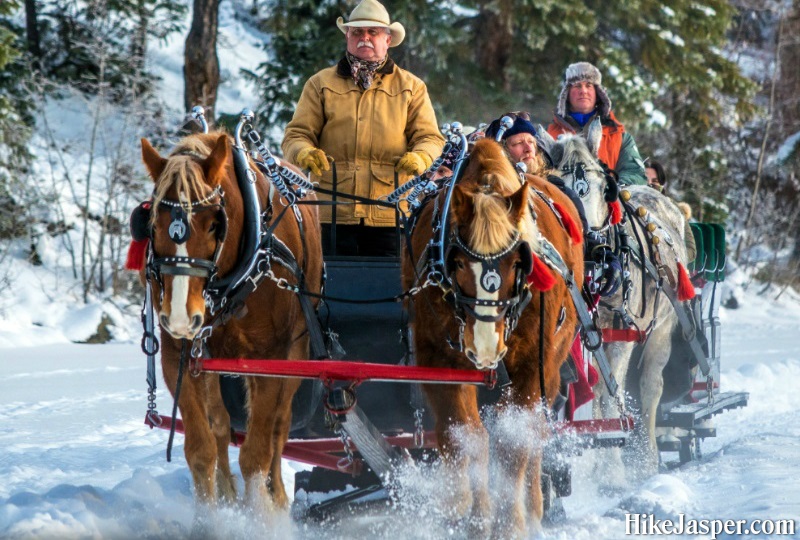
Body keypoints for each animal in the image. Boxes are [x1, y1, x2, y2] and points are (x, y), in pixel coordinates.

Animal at [140, 133, 322, 516]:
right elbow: (201, 448)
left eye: (213, 224)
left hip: (297, 350)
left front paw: (263, 515)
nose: (181, 317)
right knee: (222, 426)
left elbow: (257, 453)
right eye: (153, 225)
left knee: (279, 426)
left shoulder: (270, 359)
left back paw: (277, 493)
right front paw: (213, 515)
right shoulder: (178, 355)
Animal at [406, 139, 580, 536]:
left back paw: (534, 506)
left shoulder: (534, 364)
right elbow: (465, 436)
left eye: (518, 263)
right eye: (455, 263)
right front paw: (468, 512)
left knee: (535, 434)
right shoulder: (438, 359)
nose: (485, 346)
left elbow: (514, 441)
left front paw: (510, 521)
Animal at [536, 122, 692, 480]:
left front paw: (611, 471)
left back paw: (647, 457)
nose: (589, 246)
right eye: (556, 188)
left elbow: (611, 393)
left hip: (662, 328)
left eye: (603, 188)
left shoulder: (621, 336)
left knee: (650, 387)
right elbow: (592, 393)